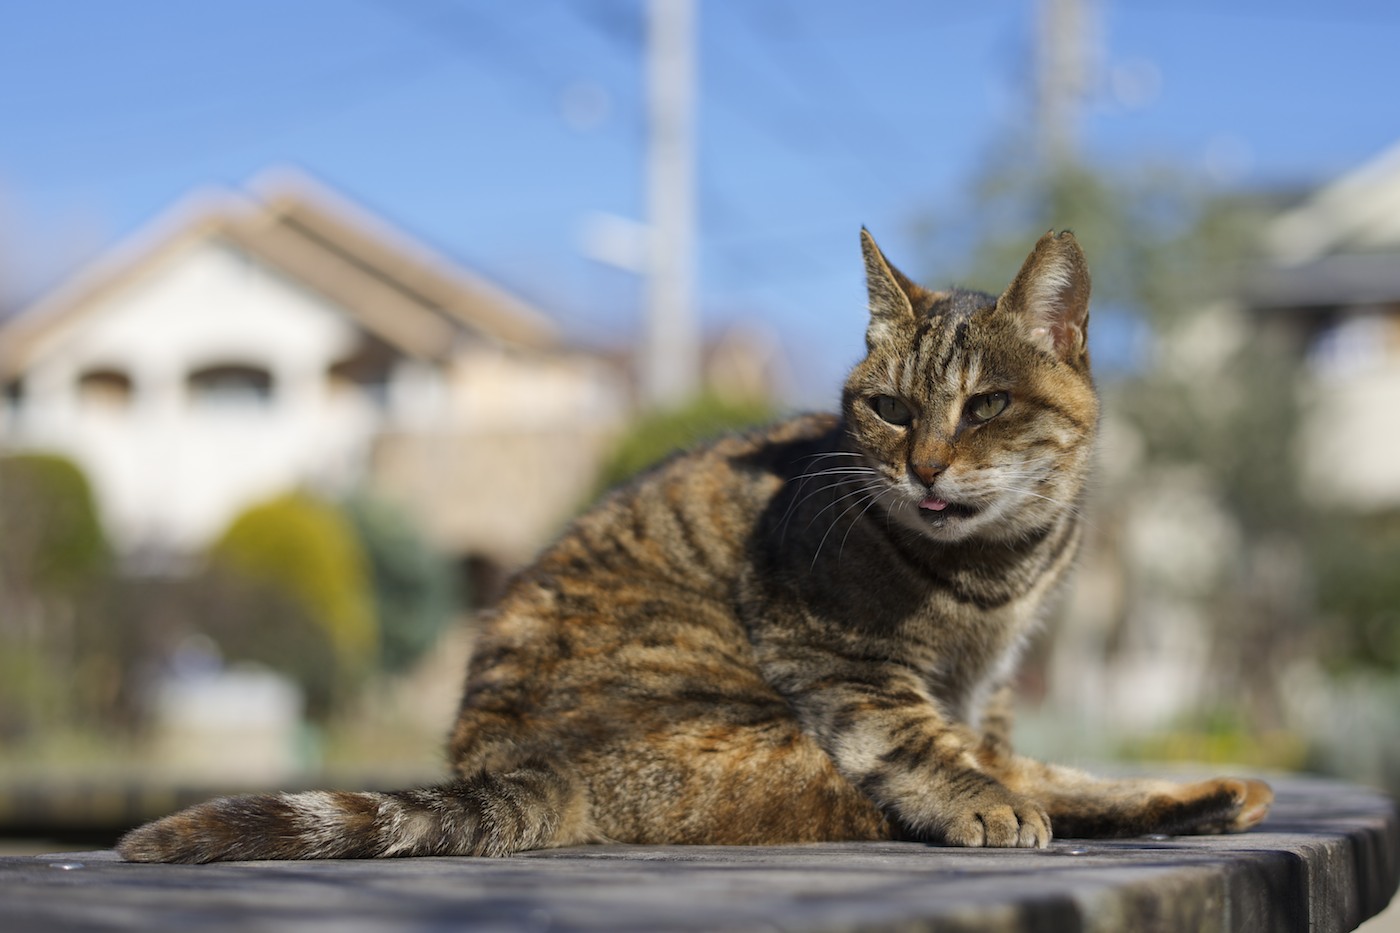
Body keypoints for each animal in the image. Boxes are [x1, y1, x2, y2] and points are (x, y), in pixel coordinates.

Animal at [126, 228, 1276, 862]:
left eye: (986, 405)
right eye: (892, 410)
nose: (925, 467)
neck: (998, 570)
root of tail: (509, 767)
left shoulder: (986, 689)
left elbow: (1023, 756)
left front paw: (1168, 791)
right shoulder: (838, 659)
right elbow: (930, 753)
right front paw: (983, 805)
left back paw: (1211, 797)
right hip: (758, 727)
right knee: (855, 803)